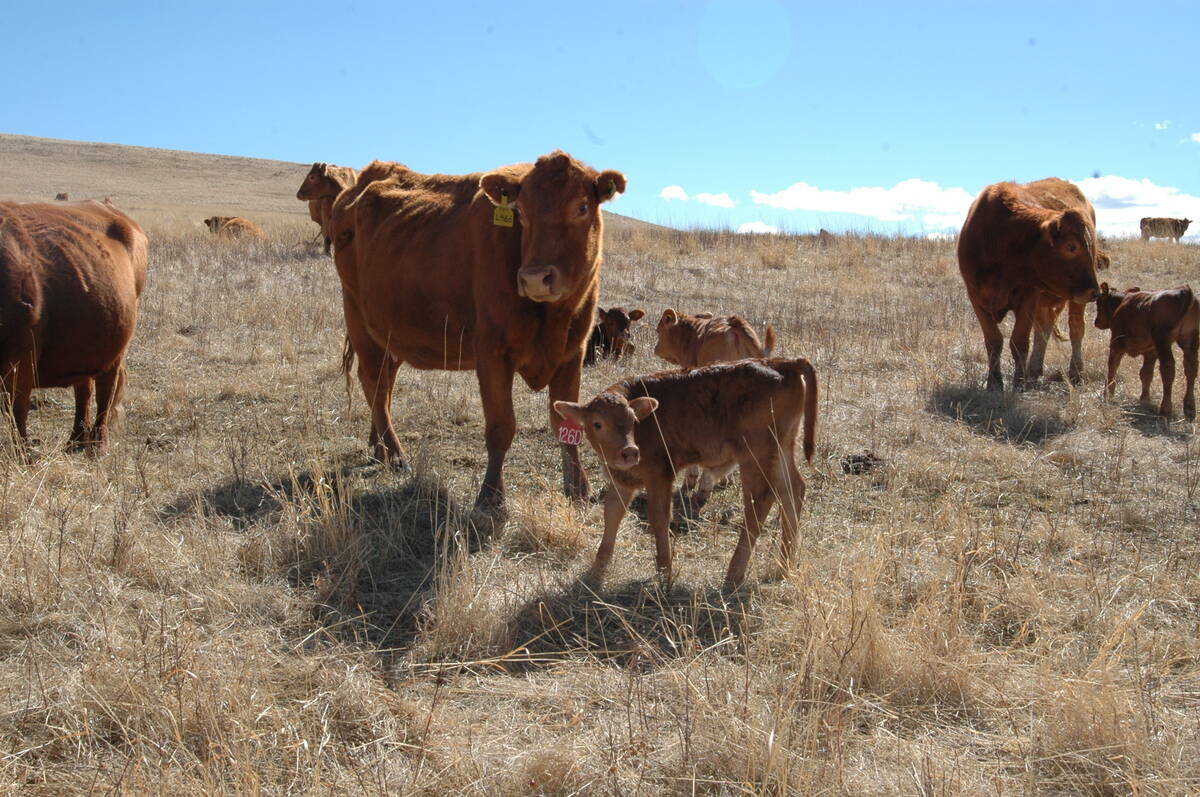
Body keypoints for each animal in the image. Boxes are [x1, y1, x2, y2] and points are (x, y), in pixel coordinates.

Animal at [0, 200, 149, 452]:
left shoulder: (20, 362)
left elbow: (16, 412)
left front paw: (22, 452)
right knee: (84, 391)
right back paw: (76, 441)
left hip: (116, 351)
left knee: (105, 394)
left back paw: (98, 445)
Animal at [332, 151, 626, 511]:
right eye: (521, 212)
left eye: (582, 207)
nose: (534, 278)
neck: (551, 317)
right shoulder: (492, 353)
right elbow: (501, 426)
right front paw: (490, 495)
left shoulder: (573, 352)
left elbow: (567, 423)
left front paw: (578, 489)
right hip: (358, 317)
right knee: (373, 382)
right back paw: (396, 454)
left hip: (388, 333)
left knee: (383, 385)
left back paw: (379, 448)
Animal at [554, 357, 817, 589]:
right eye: (597, 424)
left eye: (633, 420)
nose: (629, 452)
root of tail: (783, 362)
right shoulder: (622, 481)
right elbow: (612, 514)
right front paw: (597, 569)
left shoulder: (660, 475)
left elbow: (659, 518)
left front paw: (665, 573)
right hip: (781, 448)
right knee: (793, 490)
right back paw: (782, 567)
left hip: (755, 455)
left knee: (760, 501)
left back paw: (734, 574)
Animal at [957, 178, 1108, 391]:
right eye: (1071, 247)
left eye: (1089, 248)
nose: (1094, 292)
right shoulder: (976, 298)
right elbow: (993, 341)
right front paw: (994, 382)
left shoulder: (1028, 297)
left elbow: (1019, 341)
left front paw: (1018, 383)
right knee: (1043, 329)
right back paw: (1034, 371)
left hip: (1074, 299)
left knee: (1076, 328)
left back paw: (1075, 372)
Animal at [1094, 283, 1198, 420]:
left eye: (1099, 302)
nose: (1096, 322)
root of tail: (1184, 290)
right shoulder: (1151, 352)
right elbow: (1146, 374)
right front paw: (1144, 399)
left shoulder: (1116, 343)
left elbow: (1112, 367)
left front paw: (1108, 394)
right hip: (1190, 340)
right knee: (1191, 367)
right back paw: (1189, 408)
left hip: (1163, 341)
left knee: (1168, 368)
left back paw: (1165, 409)